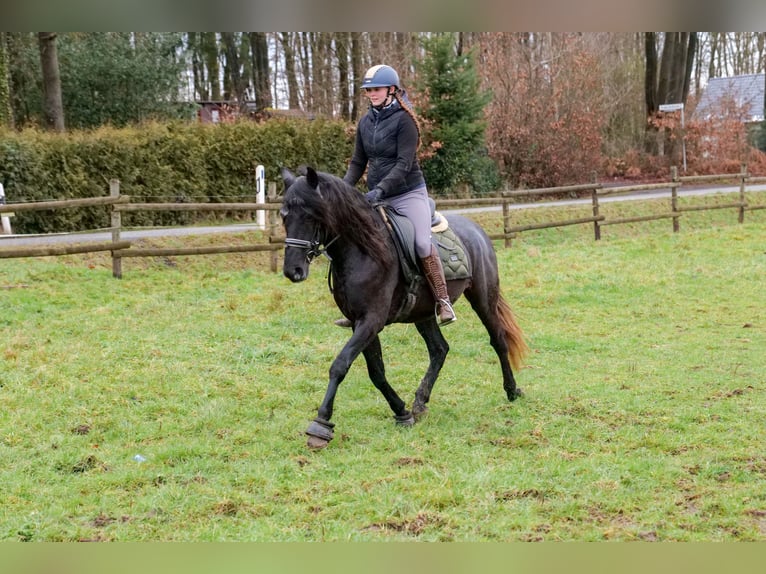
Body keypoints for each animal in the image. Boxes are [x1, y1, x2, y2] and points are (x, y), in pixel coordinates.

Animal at [282, 168, 528, 450]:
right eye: (284, 215)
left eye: (312, 215)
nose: (292, 271)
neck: (364, 250)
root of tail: (477, 231)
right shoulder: (359, 322)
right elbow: (376, 372)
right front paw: (402, 412)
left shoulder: (371, 320)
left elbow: (340, 365)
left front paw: (321, 424)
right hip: (424, 312)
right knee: (439, 349)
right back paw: (420, 401)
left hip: (482, 298)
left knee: (497, 339)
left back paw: (511, 390)